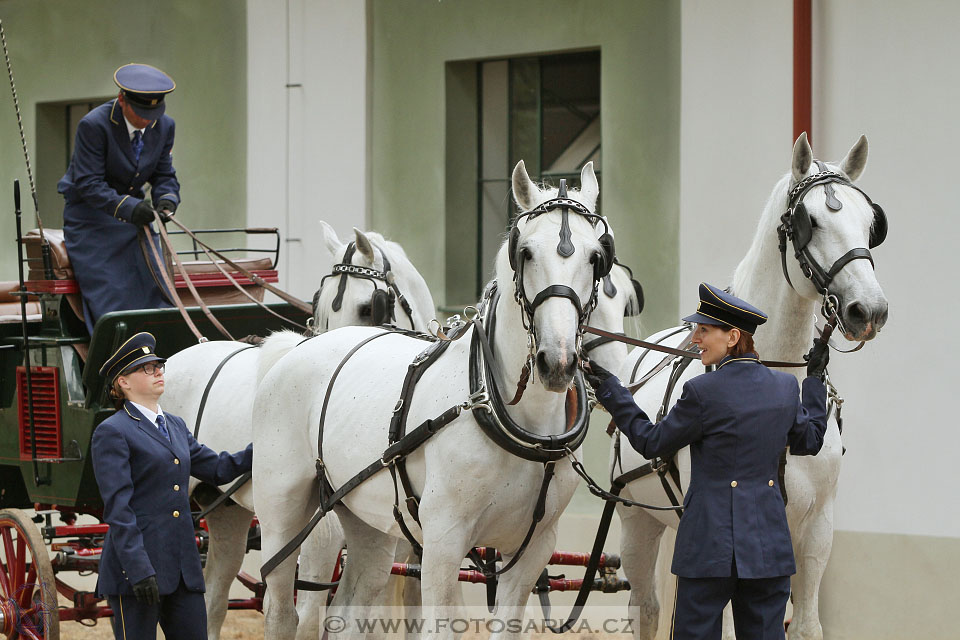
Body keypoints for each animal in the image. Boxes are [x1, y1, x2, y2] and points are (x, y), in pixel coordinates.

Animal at [164, 221, 436, 640]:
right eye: (318, 304)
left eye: (368, 307)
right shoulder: (319, 541)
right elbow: (310, 619)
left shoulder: (412, 550)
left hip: (226, 510)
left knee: (213, 598)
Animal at [249, 161, 632, 640]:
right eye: (525, 252)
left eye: (597, 257)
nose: (557, 361)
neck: (512, 415)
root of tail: (295, 349)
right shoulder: (442, 545)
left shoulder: (532, 551)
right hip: (286, 517)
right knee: (284, 608)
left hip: (369, 523)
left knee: (350, 609)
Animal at [616, 132, 892, 636]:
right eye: (809, 222)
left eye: (871, 223)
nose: (869, 311)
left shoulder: (815, 532)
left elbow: (804, 626)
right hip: (636, 522)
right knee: (643, 607)